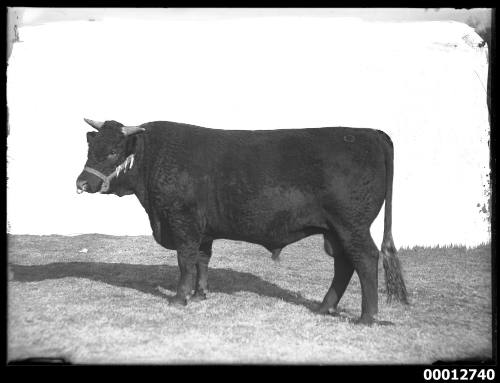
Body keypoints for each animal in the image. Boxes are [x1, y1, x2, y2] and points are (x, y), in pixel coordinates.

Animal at [76, 119, 408, 324]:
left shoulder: (183, 221)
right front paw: (200, 294)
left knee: (365, 259)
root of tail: (370, 132)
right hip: (336, 230)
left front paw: (180, 298)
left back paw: (367, 317)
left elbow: (185, 261)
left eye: (113, 152)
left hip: (351, 224)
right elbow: (202, 259)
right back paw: (324, 307)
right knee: (344, 264)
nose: (81, 183)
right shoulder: (203, 229)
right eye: (91, 149)